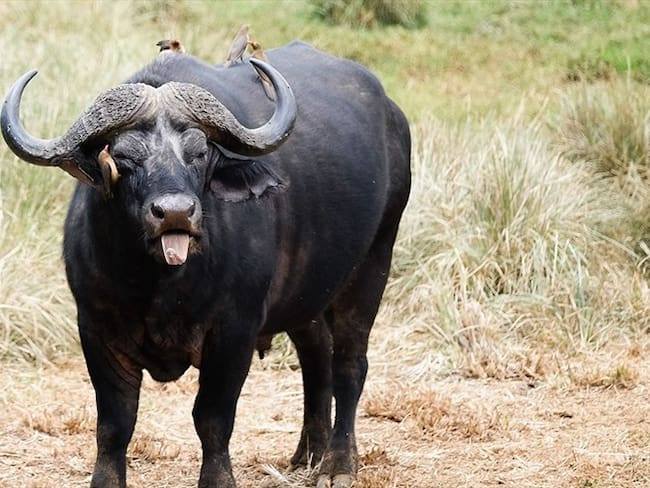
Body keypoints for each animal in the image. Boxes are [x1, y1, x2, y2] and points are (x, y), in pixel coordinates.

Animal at [1, 41, 411, 487]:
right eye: (124, 158)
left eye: (199, 154)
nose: (175, 213)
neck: (159, 284)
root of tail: (392, 116)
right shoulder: (96, 327)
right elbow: (114, 423)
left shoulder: (234, 331)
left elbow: (212, 419)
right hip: (308, 292)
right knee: (316, 353)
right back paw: (309, 454)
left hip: (373, 264)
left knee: (349, 365)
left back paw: (338, 464)